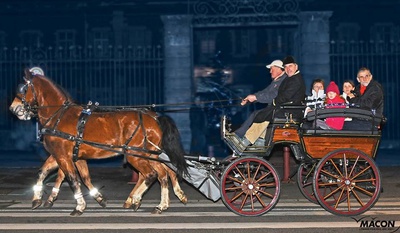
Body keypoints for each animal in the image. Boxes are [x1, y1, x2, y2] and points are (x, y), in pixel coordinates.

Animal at [9, 68, 189, 216]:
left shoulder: (63, 156)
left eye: (22, 89)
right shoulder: (68, 156)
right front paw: (38, 199)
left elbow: (72, 179)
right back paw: (160, 204)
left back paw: (138, 199)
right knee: (163, 174)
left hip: (136, 154)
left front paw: (79, 206)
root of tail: (155, 117)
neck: (59, 115)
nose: (13, 108)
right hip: (149, 154)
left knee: (152, 175)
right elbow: (57, 174)